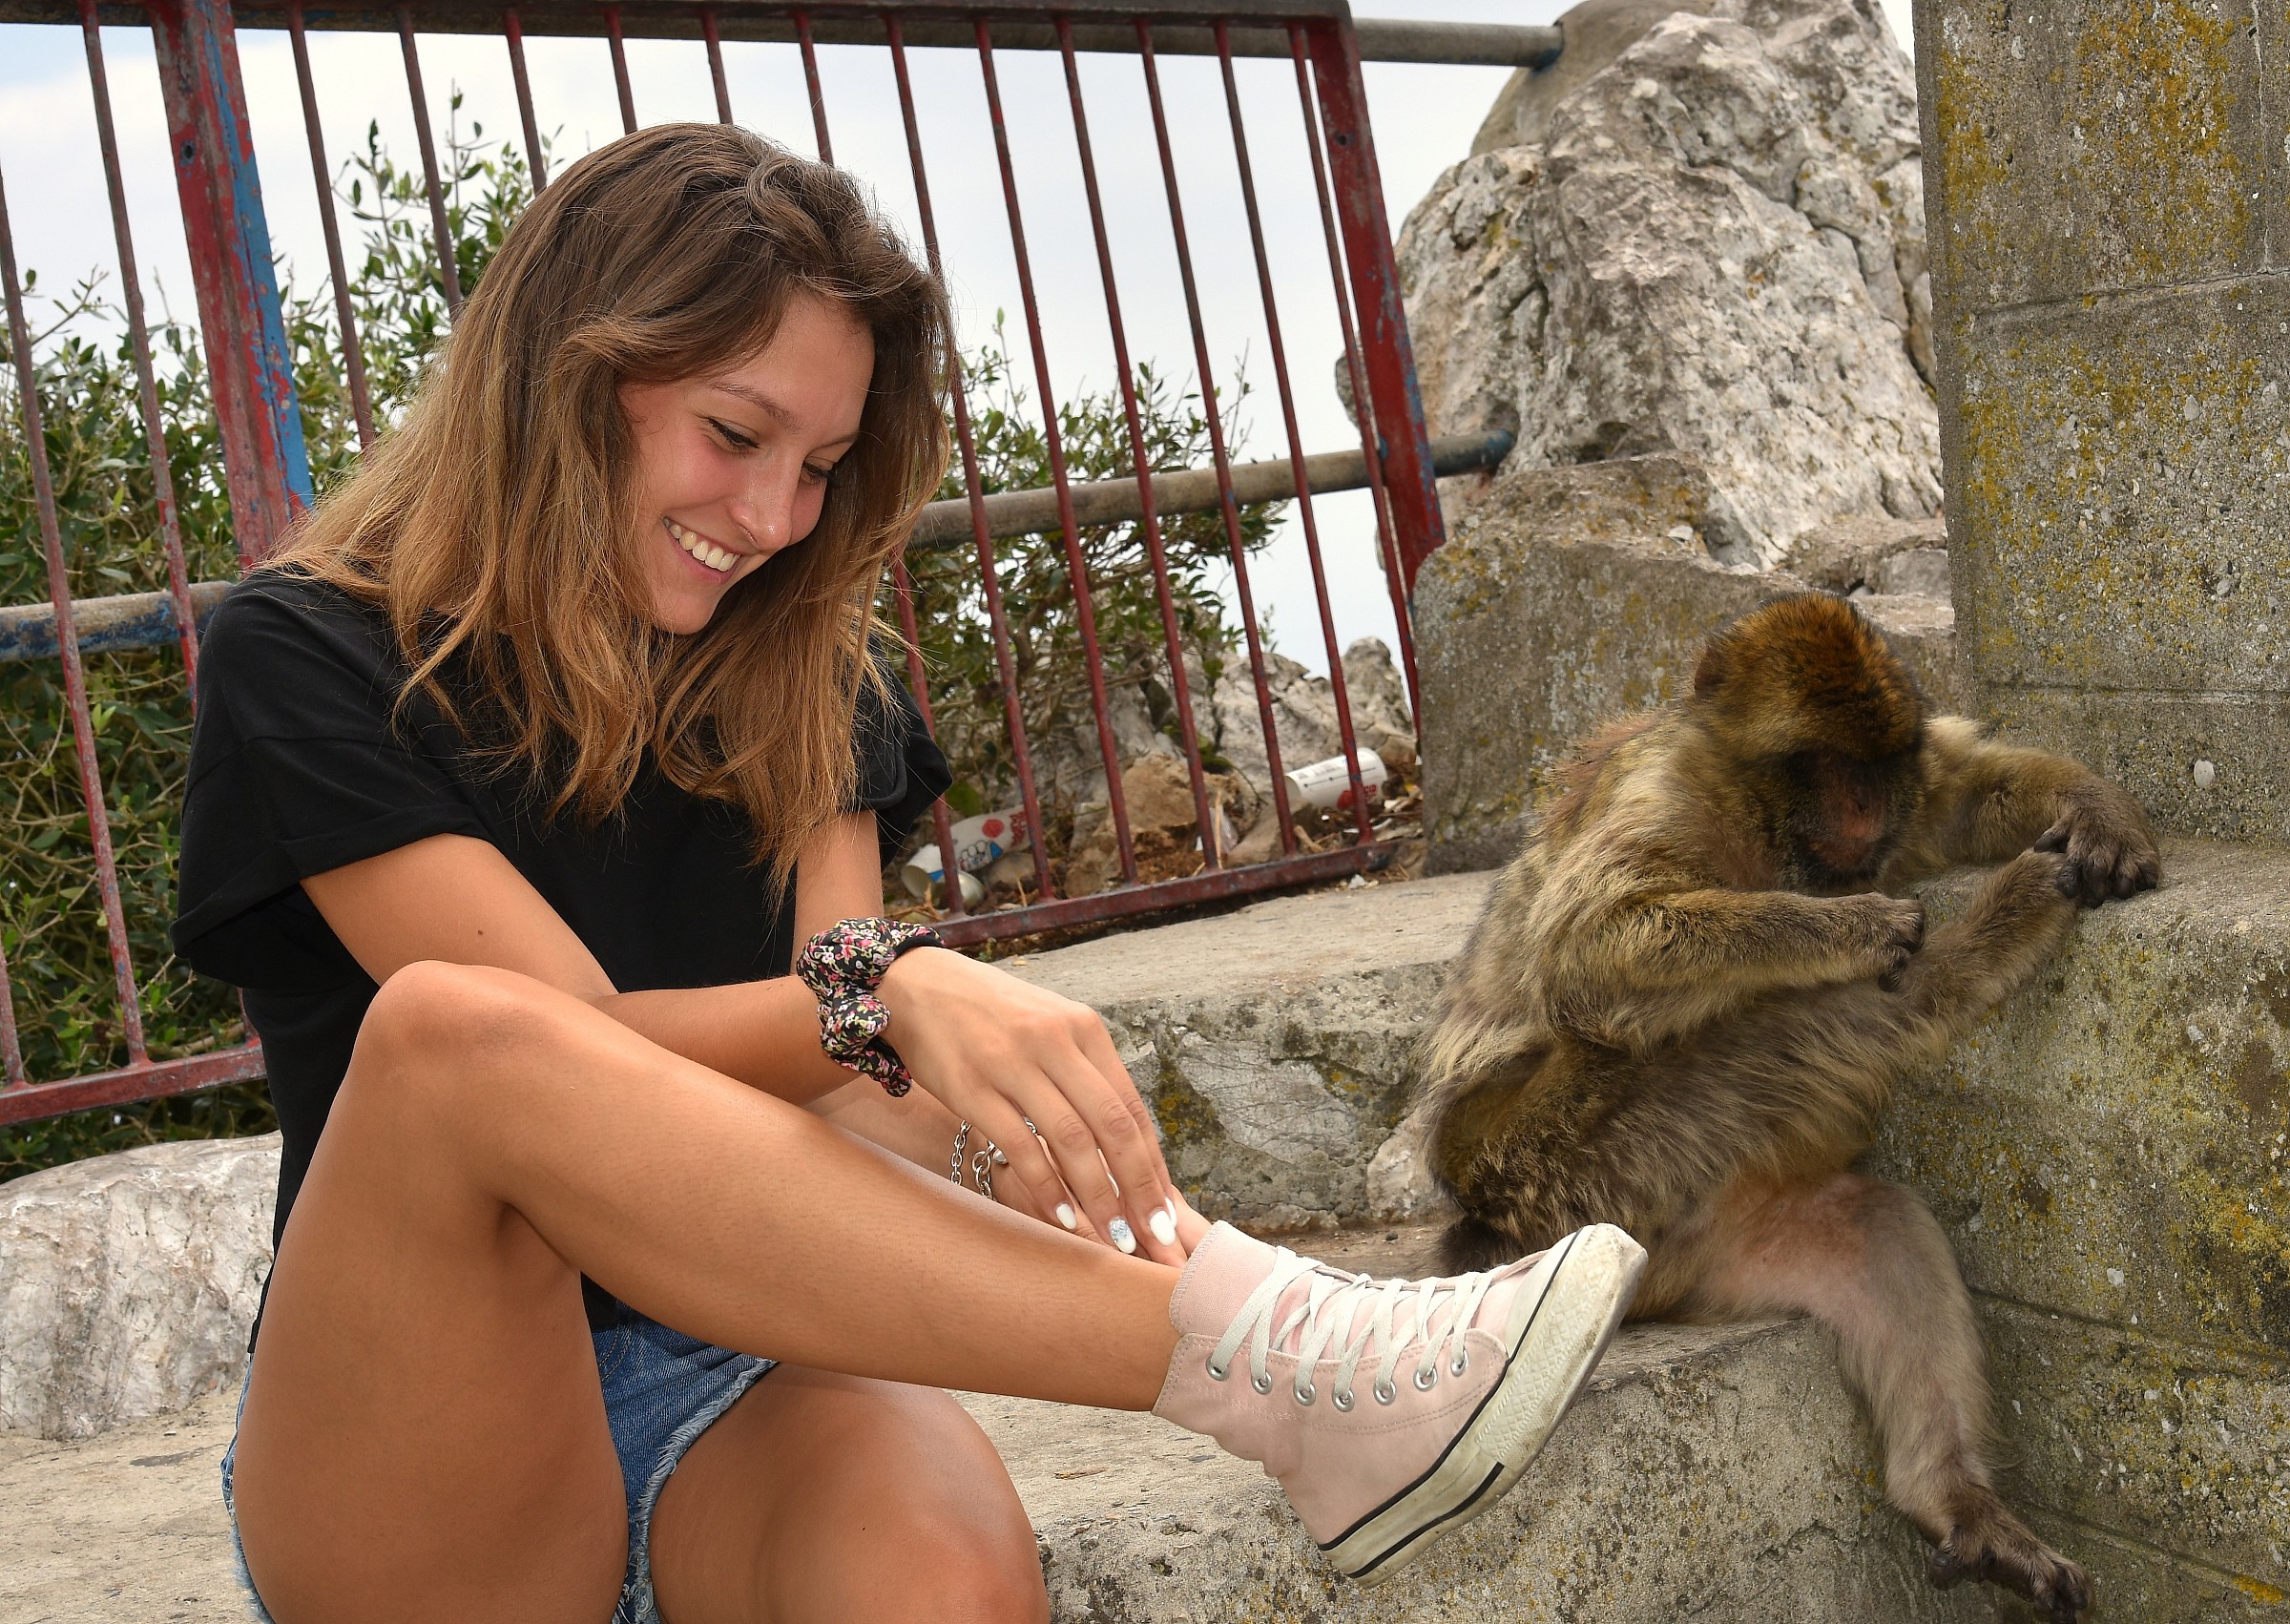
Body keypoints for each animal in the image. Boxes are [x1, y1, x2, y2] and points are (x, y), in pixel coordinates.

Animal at [1417, 594, 2158, 1624]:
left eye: (1874, 772)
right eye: (1830, 770)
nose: (1866, 810)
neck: (1764, 830)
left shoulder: (1904, 796)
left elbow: (1964, 793)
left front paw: (2097, 811)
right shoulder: (1669, 795)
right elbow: (1587, 950)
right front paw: (1849, 928)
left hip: (1705, 1245)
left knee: (1869, 1224)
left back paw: (1954, 1500)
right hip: (1565, 1165)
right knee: (1751, 1018)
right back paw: (1977, 942)